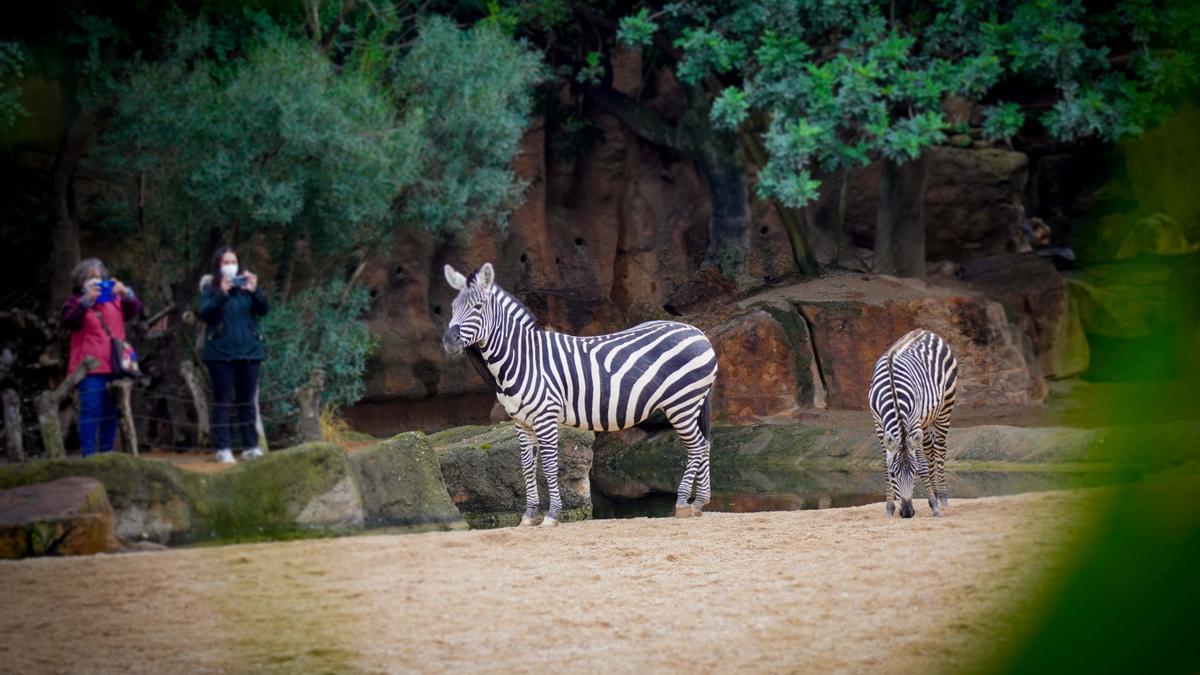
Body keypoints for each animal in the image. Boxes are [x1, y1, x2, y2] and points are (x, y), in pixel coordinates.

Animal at [444, 261, 715, 526]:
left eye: (478, 306)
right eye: (452, 307)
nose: (448, 340)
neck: (523, 359)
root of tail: (698, 333)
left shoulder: (545, 417)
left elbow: (549, 466)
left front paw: (552, 515)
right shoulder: (521, 422)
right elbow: (527, 467)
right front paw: (529, 516)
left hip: (681, 403)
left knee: (697, 446)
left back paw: (684, 503)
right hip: (691, 404)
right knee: (705, 444)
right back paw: (700, 503)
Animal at [868, 329, 960, 516]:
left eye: (914, 473)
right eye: (894, 474)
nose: (907, 513)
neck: (893, 393)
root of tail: (925, 331)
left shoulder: (913, 422)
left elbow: (923, 465)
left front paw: (934, 505)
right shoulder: (879, 425)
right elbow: (885, 464)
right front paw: (889, 507)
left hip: (945, 408)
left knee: (940, 450)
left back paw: (942, 497)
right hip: (925, 421)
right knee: (930, 450)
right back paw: (936, 493)